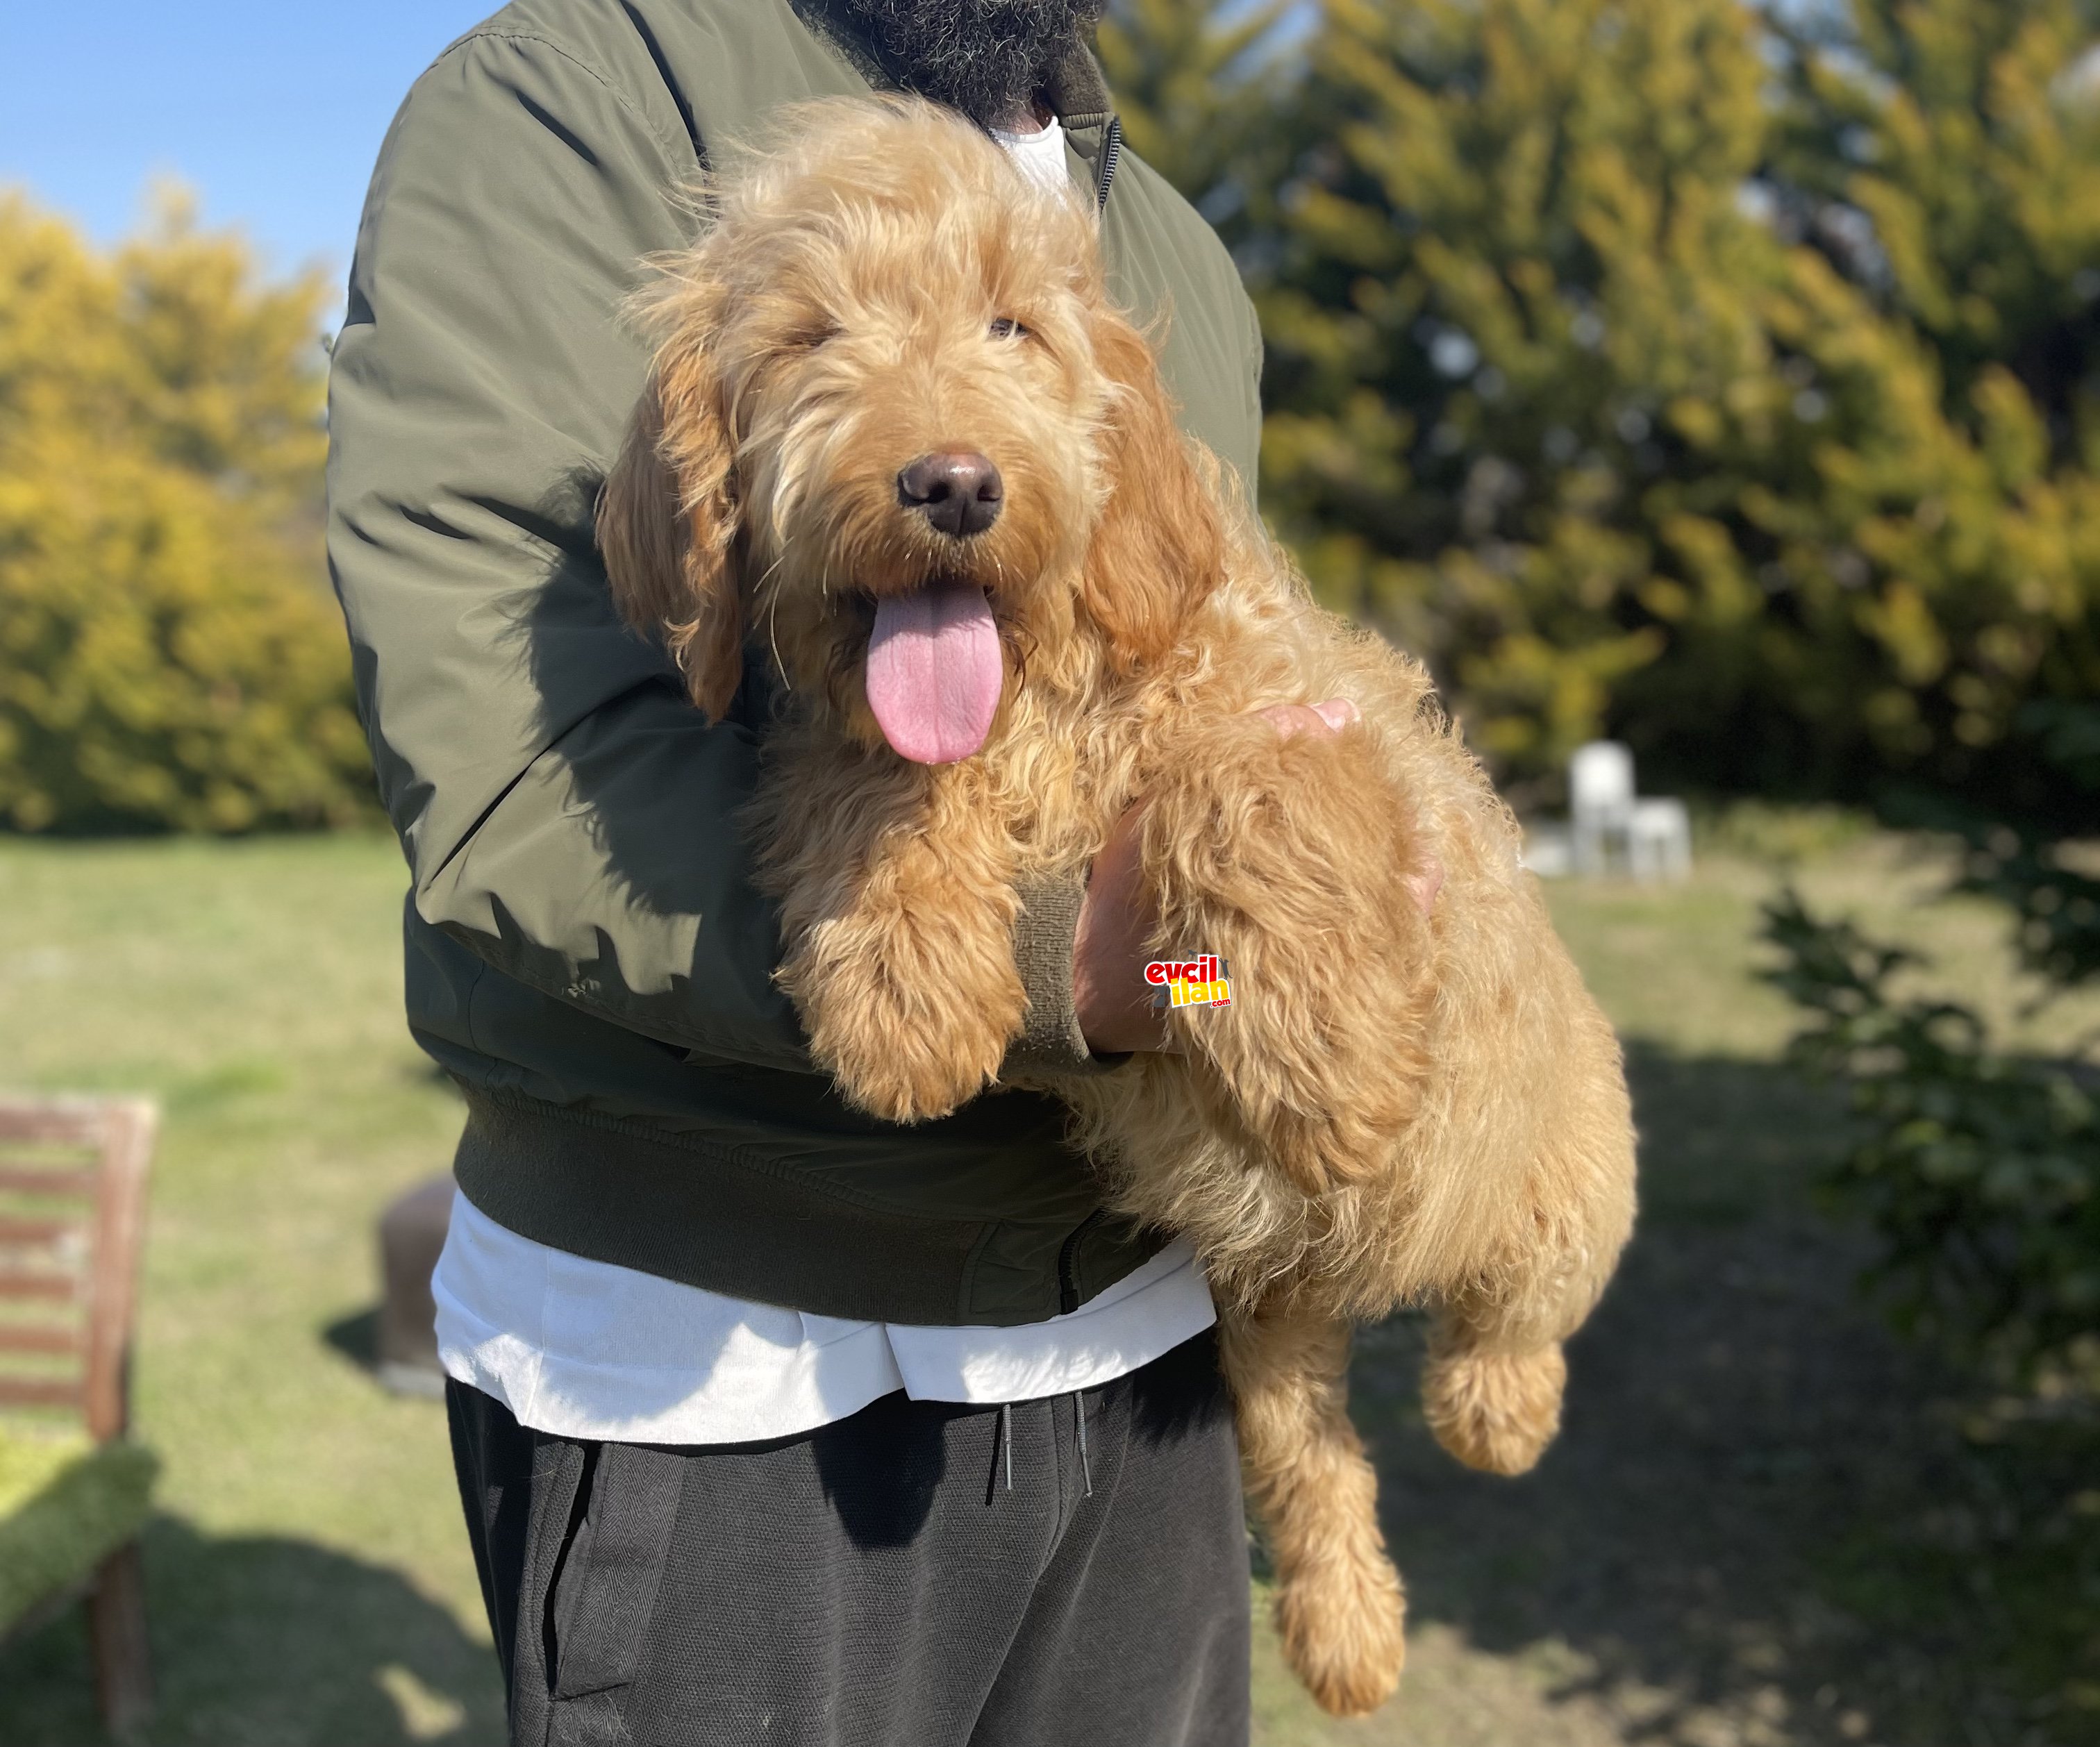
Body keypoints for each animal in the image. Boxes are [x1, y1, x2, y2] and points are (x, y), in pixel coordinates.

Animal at [596, 99, 1638, 1721]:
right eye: (812, 337)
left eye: (1013, 327)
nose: (952, 484)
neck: (1043, 697)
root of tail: (1373, 1271)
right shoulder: (853, 750)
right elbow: (862, 776)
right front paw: (905, 994)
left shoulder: (1320, 736)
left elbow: (1238, 787)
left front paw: (1329, 1075)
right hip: (1265, 1329)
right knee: (1312, 1462)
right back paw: (1347, 1630)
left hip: (1568, 1183)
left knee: (1518, 1313)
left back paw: (1493, 1407)